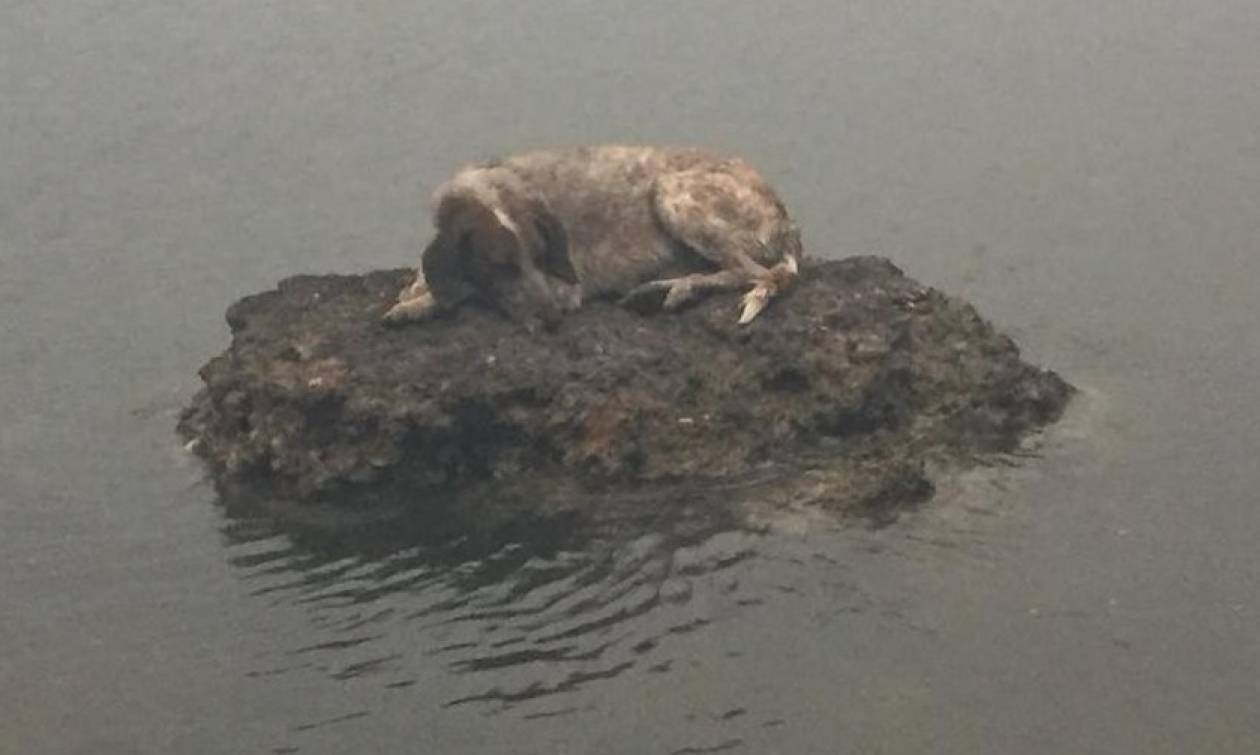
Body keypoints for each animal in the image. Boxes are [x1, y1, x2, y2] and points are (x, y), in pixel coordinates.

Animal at [378, 144, 801, 327]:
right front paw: (417, 289)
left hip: (670, 192)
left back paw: (673, 288)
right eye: (500, 265)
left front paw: (417, 304)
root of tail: (787, 222)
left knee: (752, 273)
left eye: (540, 255)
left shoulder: (565, 286)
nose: (553, 318)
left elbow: (467, 294)